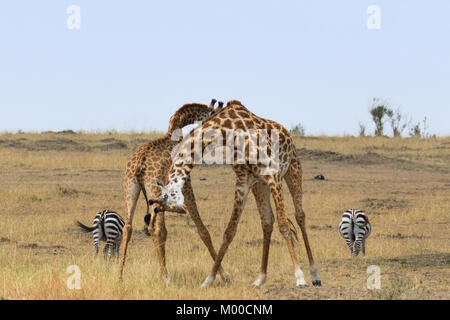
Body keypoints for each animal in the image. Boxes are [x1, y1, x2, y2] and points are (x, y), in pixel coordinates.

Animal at [118, 99, 232, 284]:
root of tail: (140, 164)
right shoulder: (186, 186)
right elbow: (203, 231)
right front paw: (225, 276)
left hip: (130, 187)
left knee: (128, 227)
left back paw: (119, 275)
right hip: (154, 189)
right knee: (157, 229)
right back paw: (166, 278)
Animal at [149, 99, 322, 288]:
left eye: (165, 199)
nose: (154, 211)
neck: (229, 130)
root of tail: (286, 131)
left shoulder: (273, 176)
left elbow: (284, 226)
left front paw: (299, 277)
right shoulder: (243, 182)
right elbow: (229, 231)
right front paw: (208, 280)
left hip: (293, 170)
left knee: (299, 216)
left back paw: (314, 275)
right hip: (260, 185)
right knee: (267, 222)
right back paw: (260, 278)